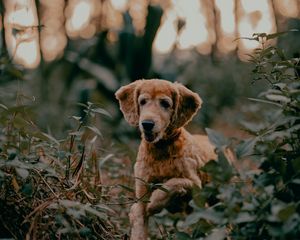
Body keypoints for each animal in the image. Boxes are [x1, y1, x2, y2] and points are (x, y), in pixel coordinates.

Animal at [116, 79, 217, 239]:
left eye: (165, 103)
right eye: (142, 102)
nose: (147, 124)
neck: (161, 151)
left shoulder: (194, 183)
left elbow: (172, 183)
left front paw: (154, 203)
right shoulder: (141, 192)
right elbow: (139, 217)